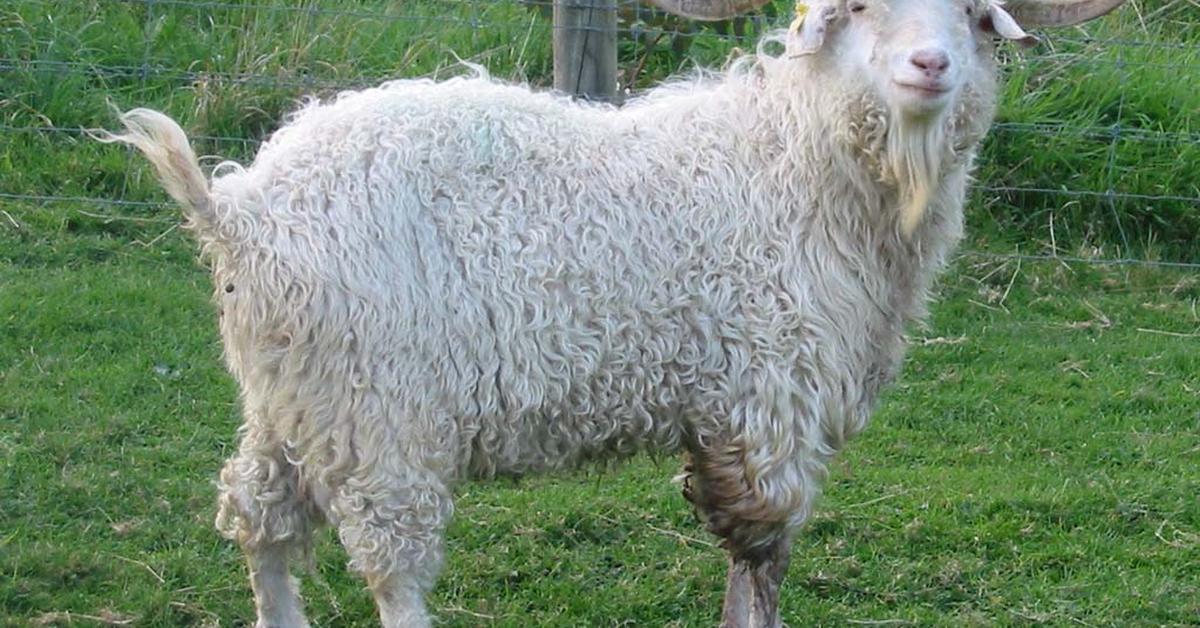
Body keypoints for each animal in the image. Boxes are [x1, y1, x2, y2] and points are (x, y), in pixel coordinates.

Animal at [98, 0, 1128, 624]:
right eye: (863, 8)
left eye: (972, 13)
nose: (930, 64)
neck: (793, 161)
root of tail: (240, 211)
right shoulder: (769, 393)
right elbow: (761, 552)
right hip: (382, 411)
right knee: (390, 562)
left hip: (295, 398)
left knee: (259, 516)